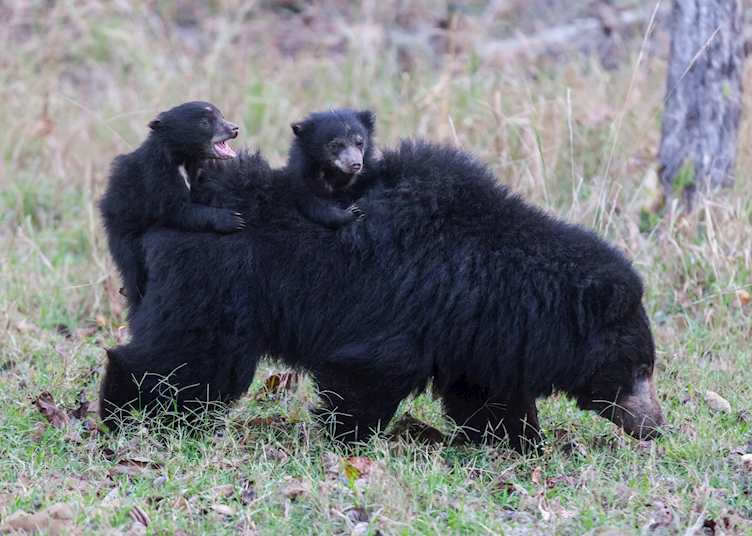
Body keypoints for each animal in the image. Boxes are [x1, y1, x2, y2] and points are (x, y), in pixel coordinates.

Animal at [99, 101, 246, 309]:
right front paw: (233, 220)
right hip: (124, 234)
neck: (184, 158)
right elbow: (176, 210)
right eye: (204, 122)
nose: (234, 129)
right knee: (132, 270)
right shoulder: (155, 176)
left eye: (222, 116)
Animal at [99, 140, 665, 453]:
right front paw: (348, 440)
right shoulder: (410, 308)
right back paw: (126, 416)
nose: (655, 426)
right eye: (639, 368)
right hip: (216, 286)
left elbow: (485, 394)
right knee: (184, 360)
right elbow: (365, 375)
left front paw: (520, 443)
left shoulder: (476, 333)